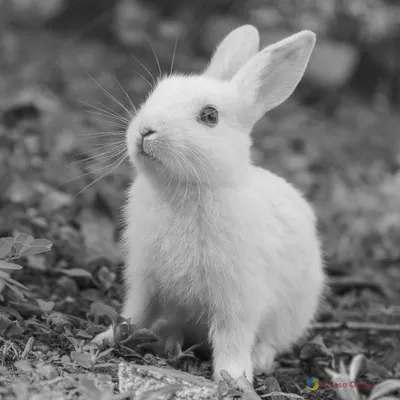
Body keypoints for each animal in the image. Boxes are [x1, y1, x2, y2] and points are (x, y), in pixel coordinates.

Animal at [93, 22, 324, 384]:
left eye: (210, 116)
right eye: (156, 93)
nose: (146, 131)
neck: (185, 190)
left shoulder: (238, 297)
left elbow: (232, 336)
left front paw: (233, 377)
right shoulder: (144, 280)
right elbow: (134, 312)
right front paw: (106, 338)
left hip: (293, 313)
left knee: (271, 341)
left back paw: (259, 360)